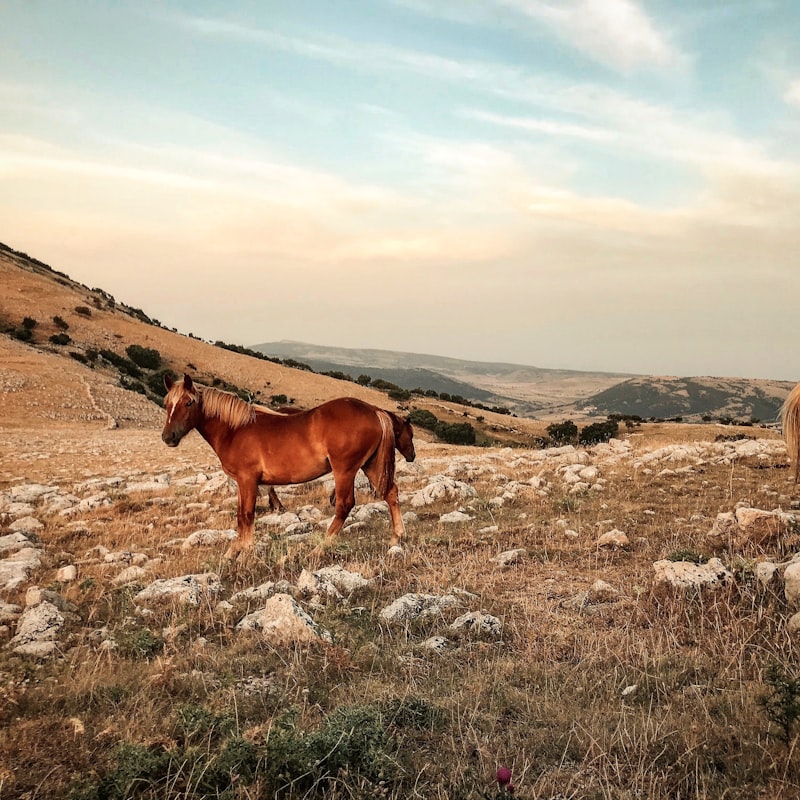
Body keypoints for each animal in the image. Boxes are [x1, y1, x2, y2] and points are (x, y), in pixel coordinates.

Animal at [160, 376, 406, 556]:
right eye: (167, 404)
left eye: (188, 402)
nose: (168, 437)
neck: (235, 430)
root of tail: (374, 410)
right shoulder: (242, 483)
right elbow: (241, 516)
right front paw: (233, 552)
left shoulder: (248, 480)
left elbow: (246, 515)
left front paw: (245, 551)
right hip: (370, 466)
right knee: (391, 493)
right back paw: (396, 537)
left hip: (345, 471)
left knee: (345, 505)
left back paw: (319, 548)